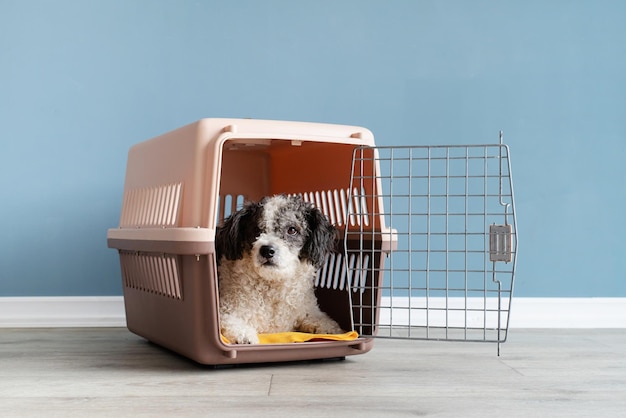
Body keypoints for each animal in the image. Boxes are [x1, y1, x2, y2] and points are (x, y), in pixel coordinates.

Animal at [214, 194, 342, 344]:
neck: (273, 283)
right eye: (257, 230)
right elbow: (231, 322)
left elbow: (321, 319)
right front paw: (245, 336)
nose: (267, 250)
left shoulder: (307, 310)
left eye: (292, 229)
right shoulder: (225, 309)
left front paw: (332, 330)